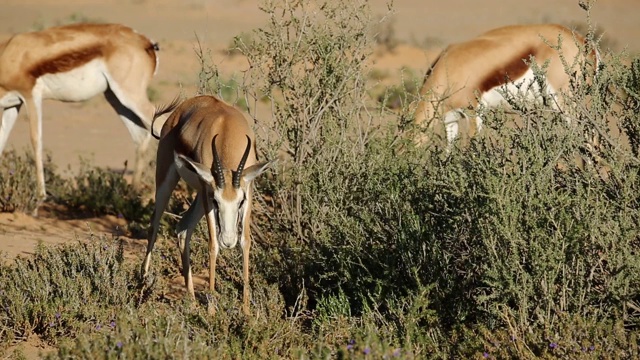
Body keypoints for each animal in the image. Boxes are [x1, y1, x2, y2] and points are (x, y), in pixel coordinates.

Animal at [0, 22, 159, 204]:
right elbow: (2, 140)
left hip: (131, 96)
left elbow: (36, 141)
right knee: (141, 136)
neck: (9, 52)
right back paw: (133, 196)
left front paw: (41, 195)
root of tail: (145, 41)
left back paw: (150, 198)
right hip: (115, 97)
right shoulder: (13, 105)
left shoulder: (31, 97)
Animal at [141, 95, 274, 316]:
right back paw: (141, 288)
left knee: (183, 228)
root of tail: (183, 107)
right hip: (167, 180)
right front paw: (212, 310)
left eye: (240, 202)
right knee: (154, 225)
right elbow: (213, 245)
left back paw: (193, 301)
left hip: (196, 199)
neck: (227, 131)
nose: (228, 241)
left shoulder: (249, 190)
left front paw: (246, 311)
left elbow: (245, 241)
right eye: (216, 201)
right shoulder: (206, 192)